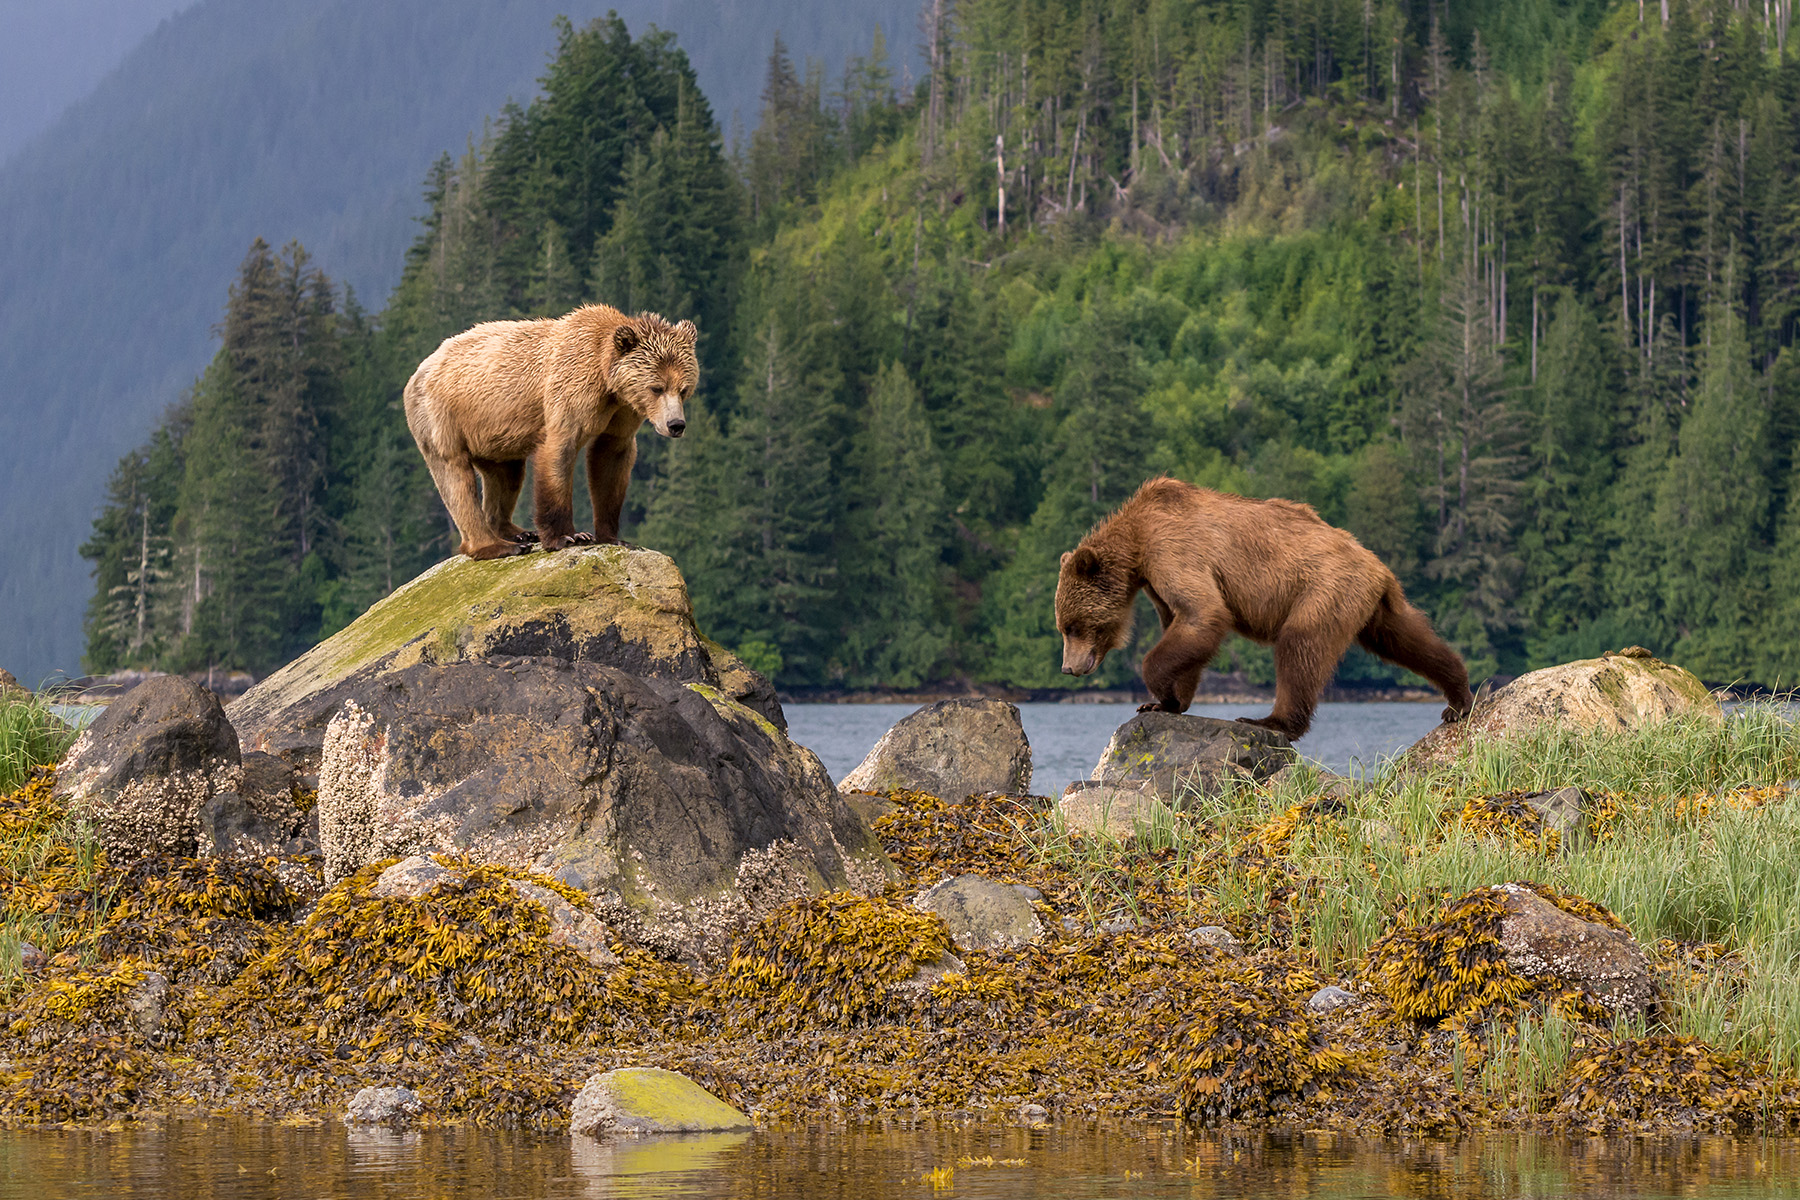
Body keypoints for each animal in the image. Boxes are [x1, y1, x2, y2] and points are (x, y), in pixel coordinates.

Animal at [405, 305, 698, 557]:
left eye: (684, 389)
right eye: (656, 387)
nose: (676, 425)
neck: (608, 383)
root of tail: (420, 369)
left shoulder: (623, 413)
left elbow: (610, 461)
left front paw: (612, 536)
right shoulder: (570, 391)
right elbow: (559, 453)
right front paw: (567, 536)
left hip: (493, 435)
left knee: (506, 475)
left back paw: (517, 532)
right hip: (444, 417)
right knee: (456, 478)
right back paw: (497, 546)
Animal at [1058, 478, 1468, 741]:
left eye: (1073, 626)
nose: (1068, 668)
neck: (1137, 541)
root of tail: (1377, 565)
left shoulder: (1173, 551)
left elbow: (1204, 613)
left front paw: (1158, 691)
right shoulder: (1155, 582)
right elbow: (1185, 625)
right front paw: (1167, 703)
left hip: (1322, 588)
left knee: (1299, 647)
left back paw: (1271, 720)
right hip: (1366, 602)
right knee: (1405, 639)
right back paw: (1458, 696)